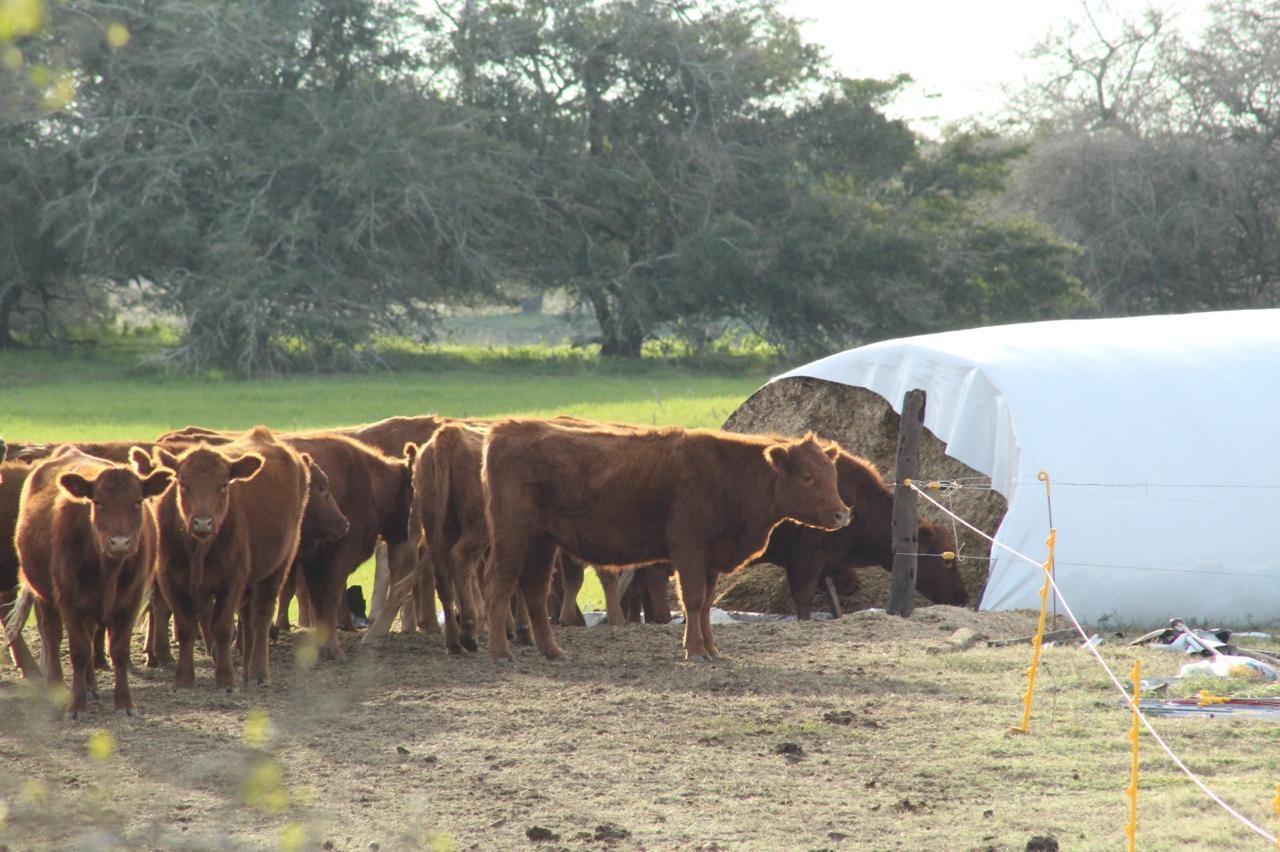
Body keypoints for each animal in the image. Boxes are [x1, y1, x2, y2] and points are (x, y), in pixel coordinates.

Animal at [13, 445, 172, 716]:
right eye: (98, 502)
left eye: (137, 502)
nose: (119, 542)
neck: (108, 570)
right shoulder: (69, 601)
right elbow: (78, 650)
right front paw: (75, 704)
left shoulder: (130, 601)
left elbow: (118, 650)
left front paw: (125, 703)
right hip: (44, 595)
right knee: (52, 635)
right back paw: (57, 686)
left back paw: (91, 686)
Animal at [151, 424, 305, 690]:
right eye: (183, 484)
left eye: (223, 485)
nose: (203, 522)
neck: (199, 548)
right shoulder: (170, 579)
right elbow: (185, 628)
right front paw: (184, 679)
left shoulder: (232, 579)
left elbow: (222, 628)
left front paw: (225, 679)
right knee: (247, 618)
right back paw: (247, 671)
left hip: (277, 569)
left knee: (261, 618)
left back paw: (259, 672)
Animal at [481, 422, 849, 660]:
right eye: (807, 476)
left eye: (833, 474)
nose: (841, 514)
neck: (728, 474)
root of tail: (504, 430)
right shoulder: (689, 550)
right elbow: (694, 600)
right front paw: (696, 650)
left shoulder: (711, 559)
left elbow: (706, 603)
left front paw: (712, 649)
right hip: (513, 537)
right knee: (500, 586)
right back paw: (500, 652)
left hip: (542, 543)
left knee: (535, 591)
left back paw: (553, 651)